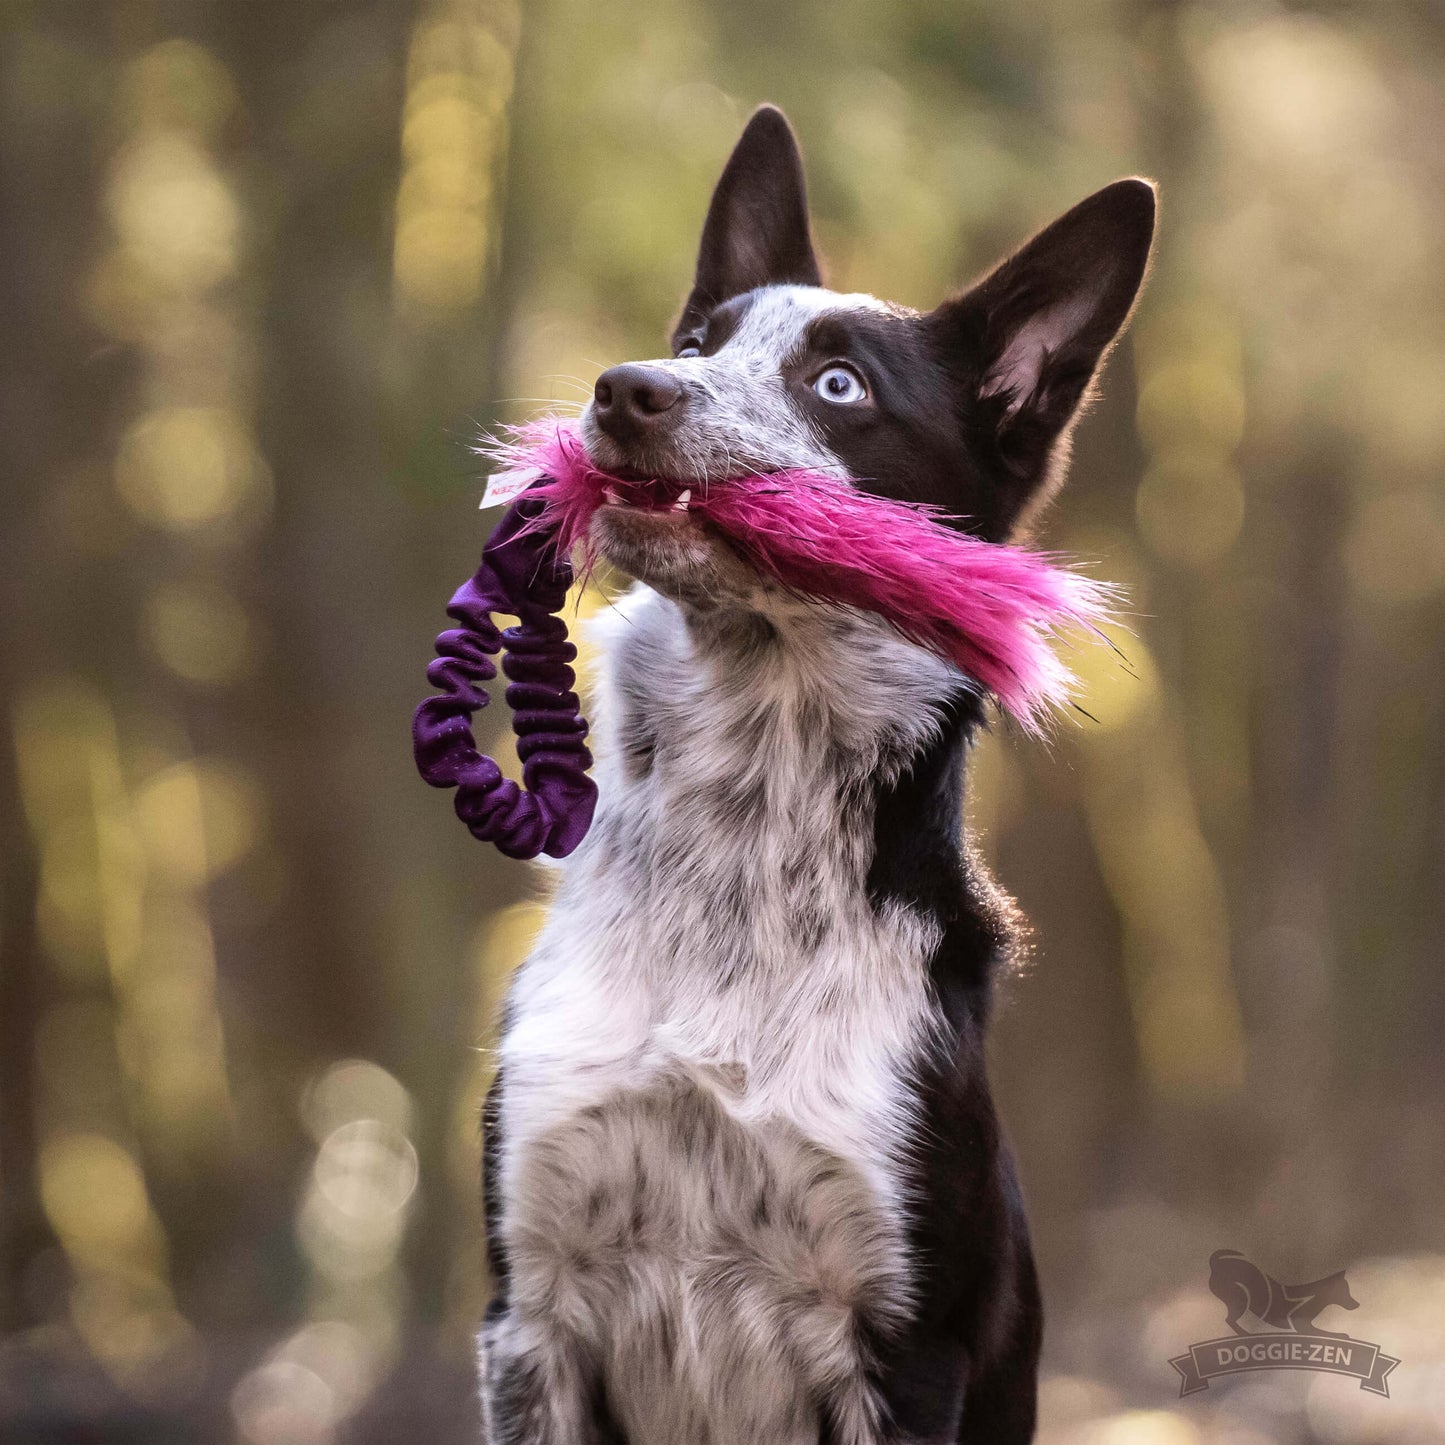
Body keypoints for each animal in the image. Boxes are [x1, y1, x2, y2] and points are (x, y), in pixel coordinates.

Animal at [1213, 1248, 1358, 1335]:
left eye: (1348, 1290)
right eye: (1344, 1291)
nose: (1357, 1305)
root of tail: (1216, 1264)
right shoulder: (1301, 1326)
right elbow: (1332, 1334)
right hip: (1240, 1300)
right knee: (1229, 1319)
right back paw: (1244, 1333)